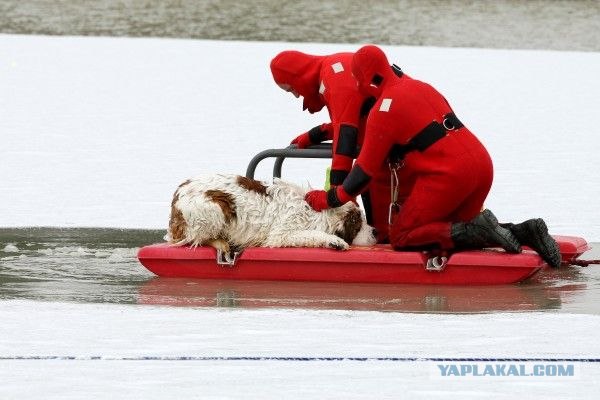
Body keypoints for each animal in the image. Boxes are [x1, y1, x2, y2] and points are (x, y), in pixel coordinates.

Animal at [164, 173, 378, 253]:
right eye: (358, 225)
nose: (375, 231)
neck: (316, 213)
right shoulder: (281, 235)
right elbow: (312, 234)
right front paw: (335, 241)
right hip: (214, 208)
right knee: (193, 239)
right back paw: (221, 242)